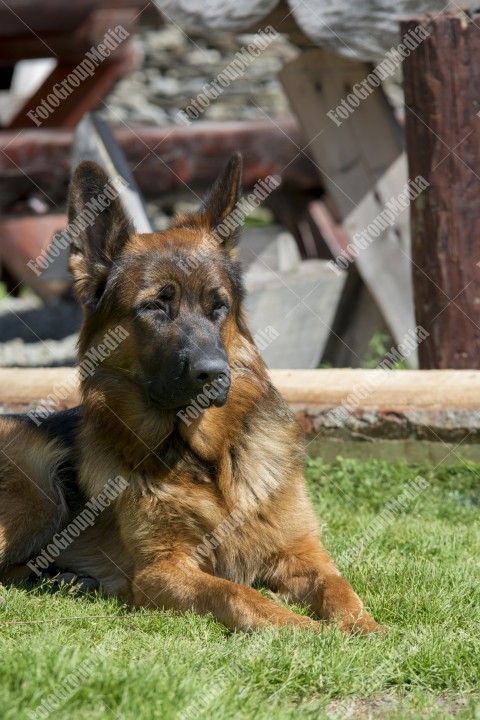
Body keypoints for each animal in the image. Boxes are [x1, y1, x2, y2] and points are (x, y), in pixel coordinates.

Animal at [0, 155, 382, 632]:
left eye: (218, 307)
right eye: (153, 307)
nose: (214, 373)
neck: (208, 460)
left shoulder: (301, 551)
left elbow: (340, 589)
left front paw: (363, 629)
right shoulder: (162, 570)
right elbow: (239, 594)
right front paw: (304, 630)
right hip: (38, 491)